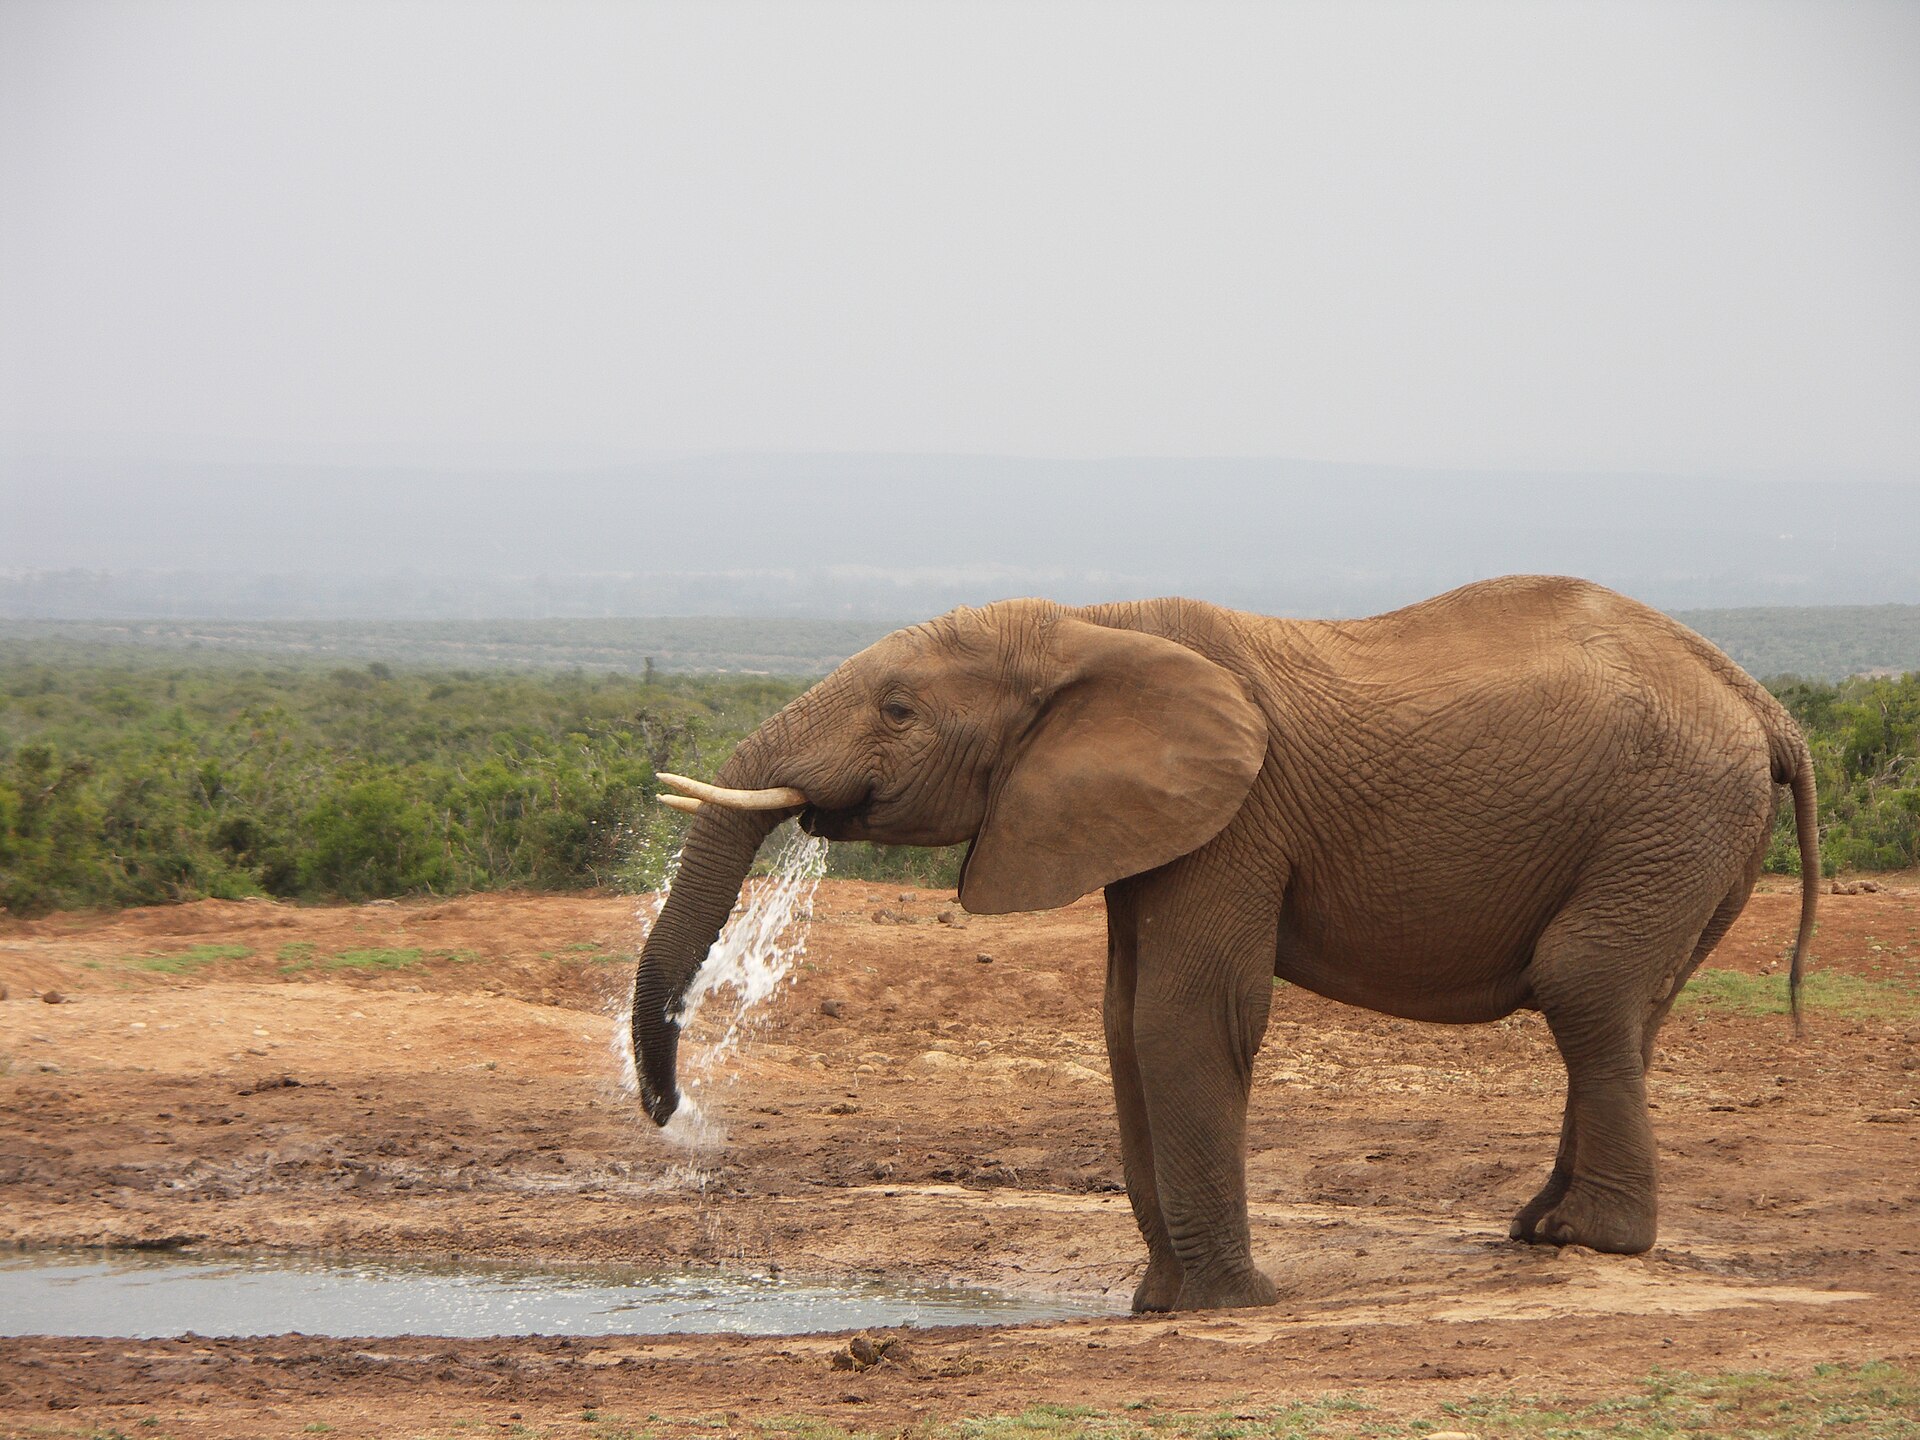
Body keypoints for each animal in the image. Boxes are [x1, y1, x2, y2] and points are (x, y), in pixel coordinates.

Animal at [630, 574, 1818, 1313]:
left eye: (897, 710)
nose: (666, 1112)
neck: (1090, 624)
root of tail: (1764, 706)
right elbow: (1122, 1024)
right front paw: (1158, 1306)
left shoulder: (1240, 815)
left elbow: (1184, 1016)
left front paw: (1219, 1306)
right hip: (1681, 836)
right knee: (1621, 1009)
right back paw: (1538, 1230)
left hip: (1670, 815)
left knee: (1584, 989)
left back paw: (1587, 1243)